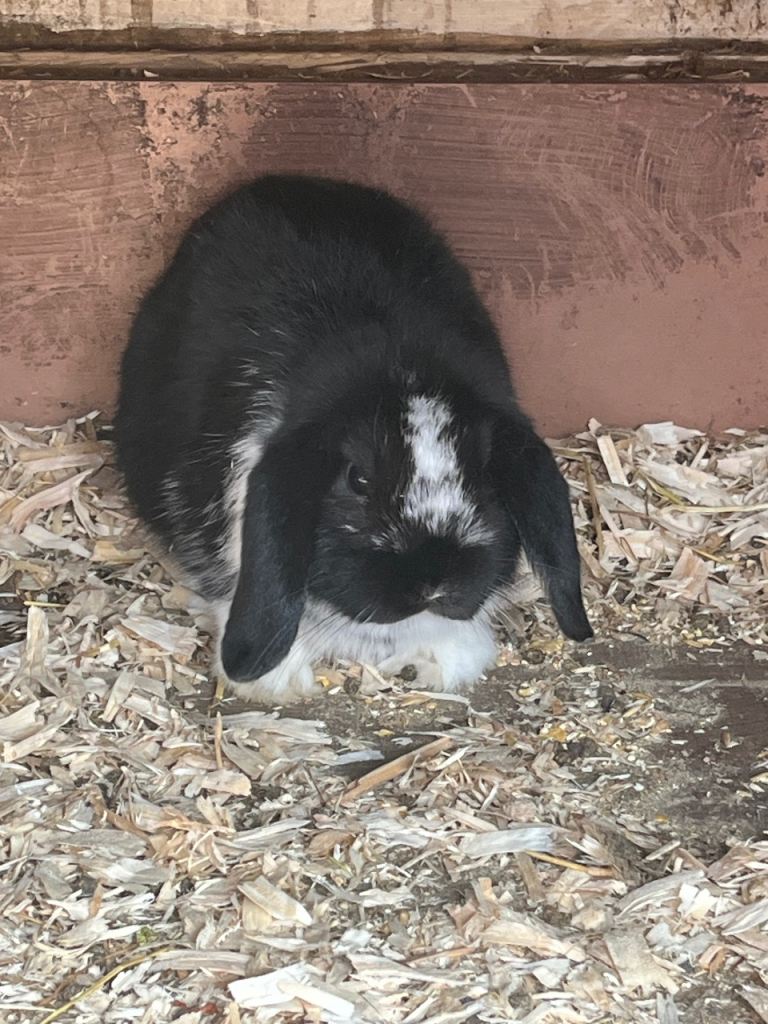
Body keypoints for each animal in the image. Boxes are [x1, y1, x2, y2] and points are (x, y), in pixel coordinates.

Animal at [115, 174, 592, 703]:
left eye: (484, 477)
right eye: (357, 479)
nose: (433, 582)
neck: (396, 363)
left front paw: (444, 662)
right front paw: (279, 683)